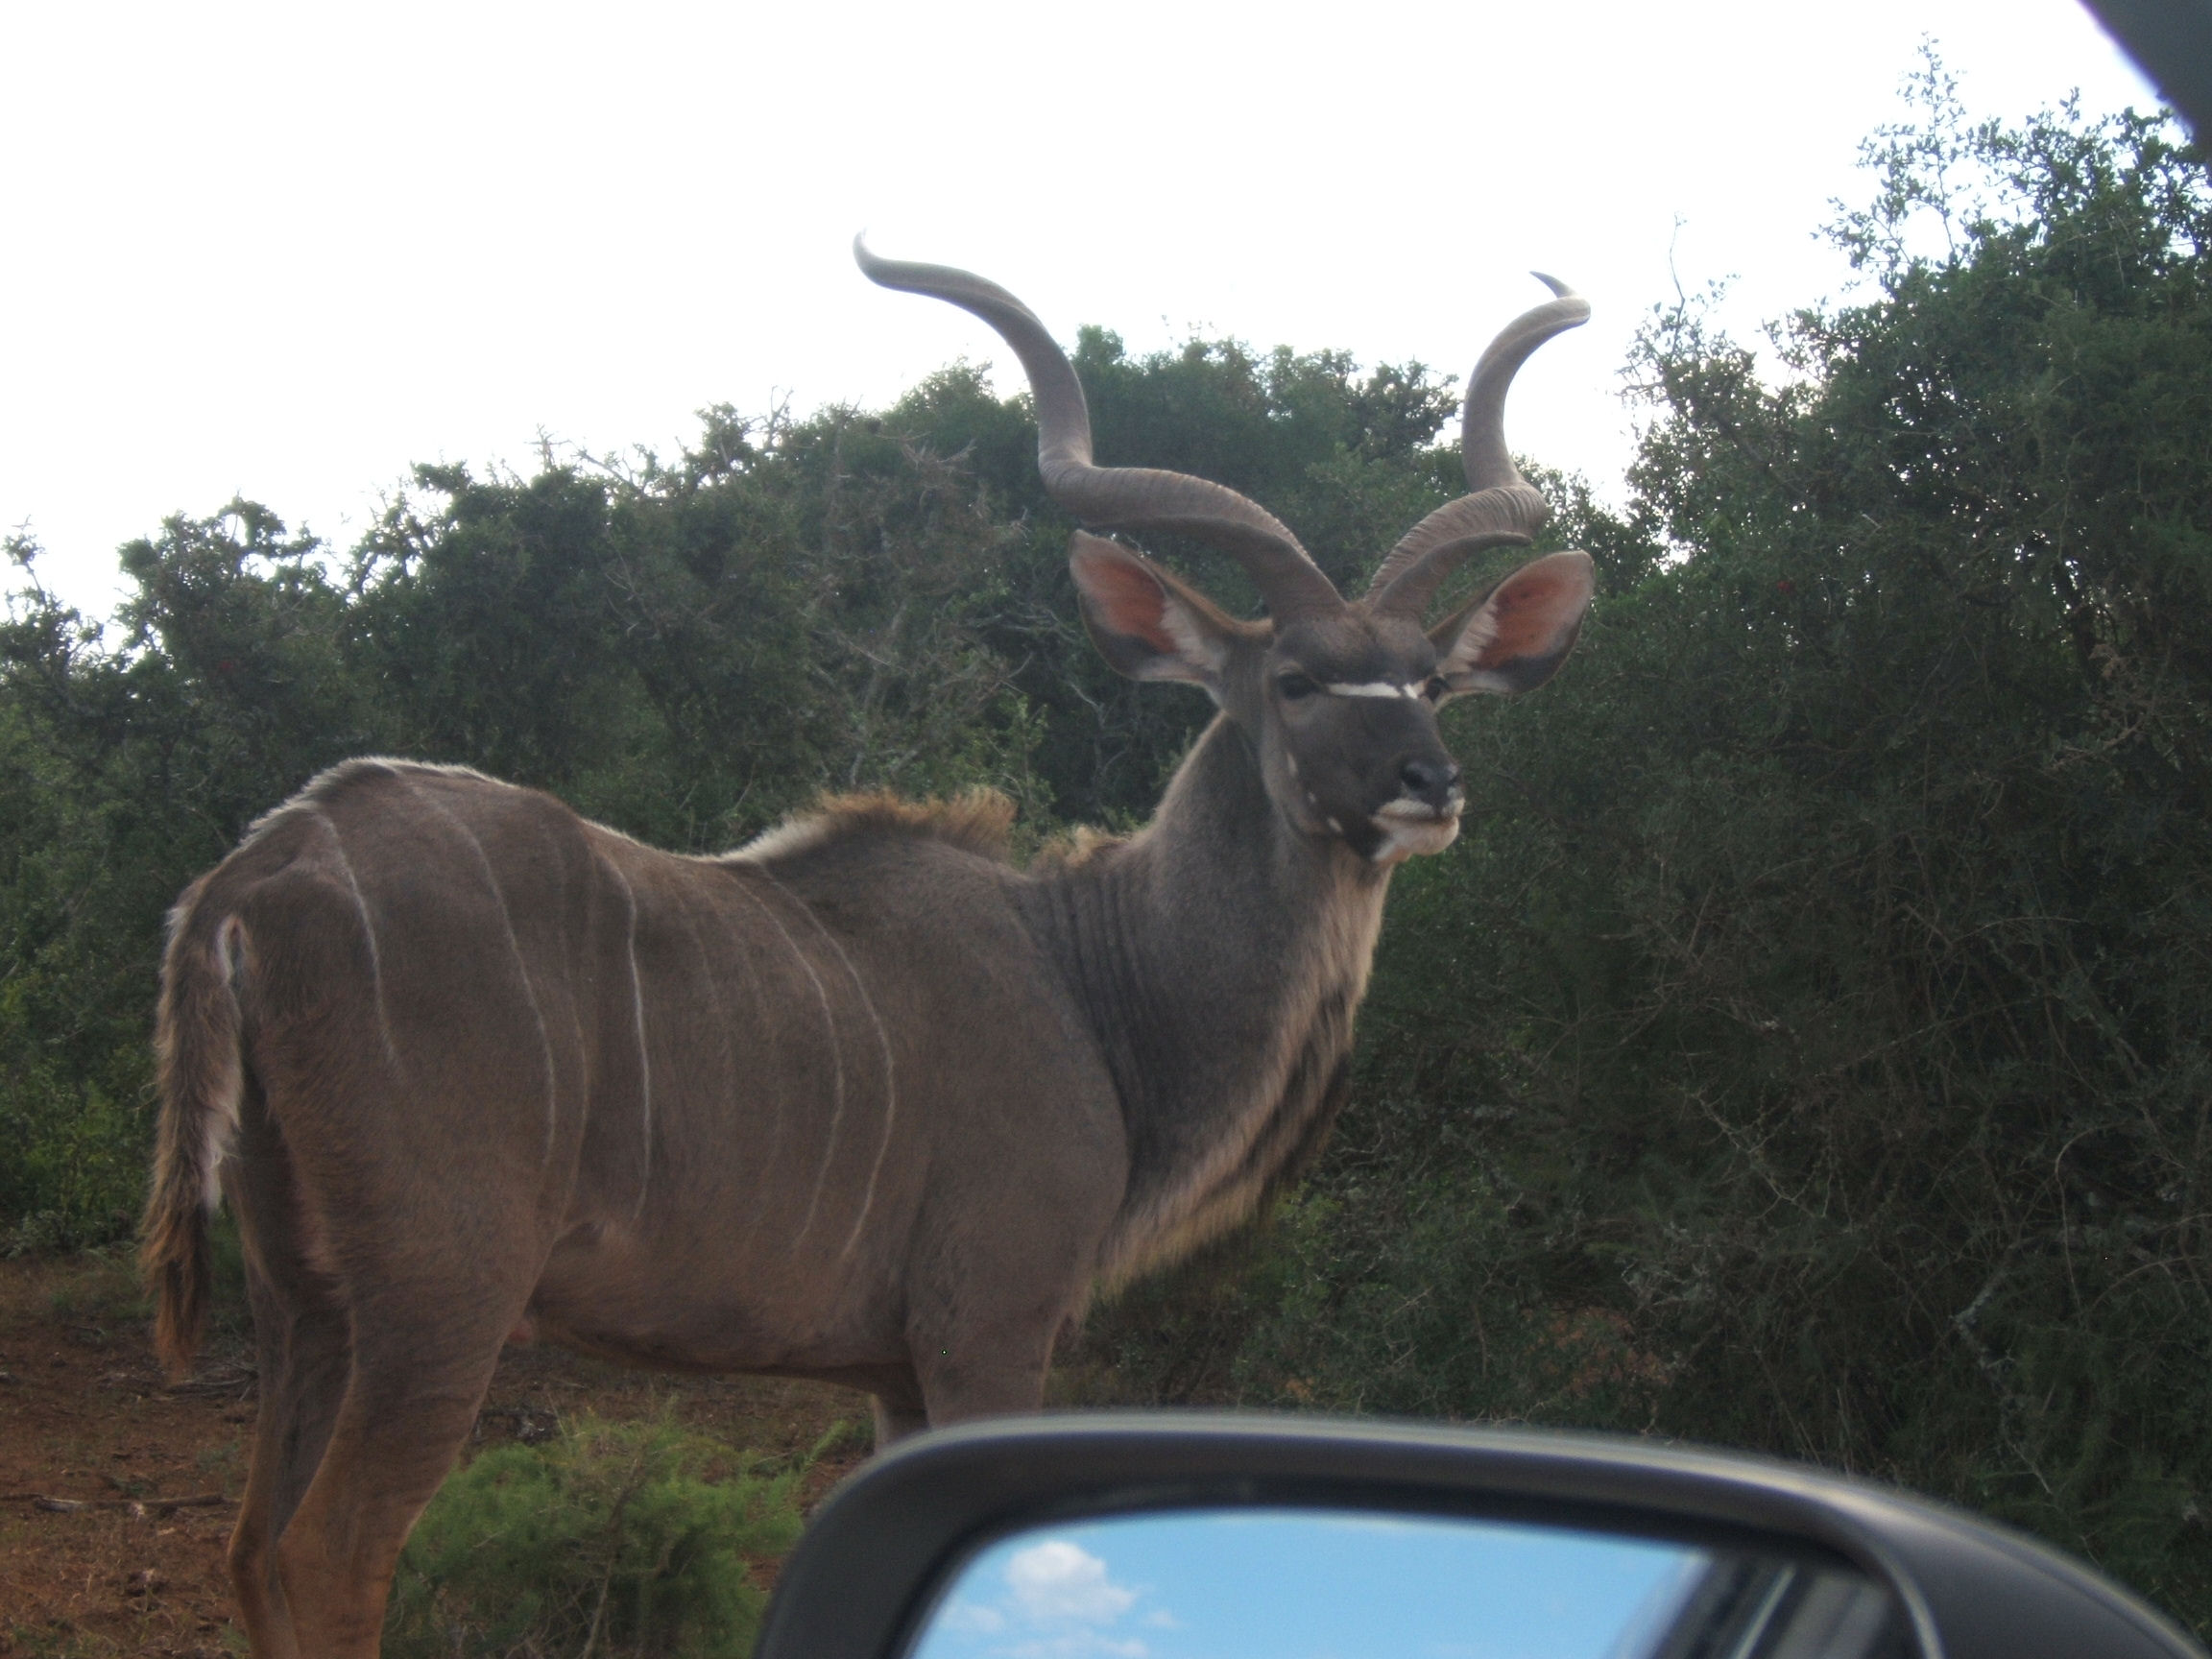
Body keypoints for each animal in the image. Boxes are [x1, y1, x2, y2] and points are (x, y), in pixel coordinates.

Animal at [142, 239, 1592, 1654]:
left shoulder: (897, 1370)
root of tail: (256, 873)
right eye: (1292, 679)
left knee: (251, 1553)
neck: (1095, 978)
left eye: (1431, 679)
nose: (1429, 782)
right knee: (328, 1557)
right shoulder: (988, 1329)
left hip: (304, 1303)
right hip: (440, 1301)